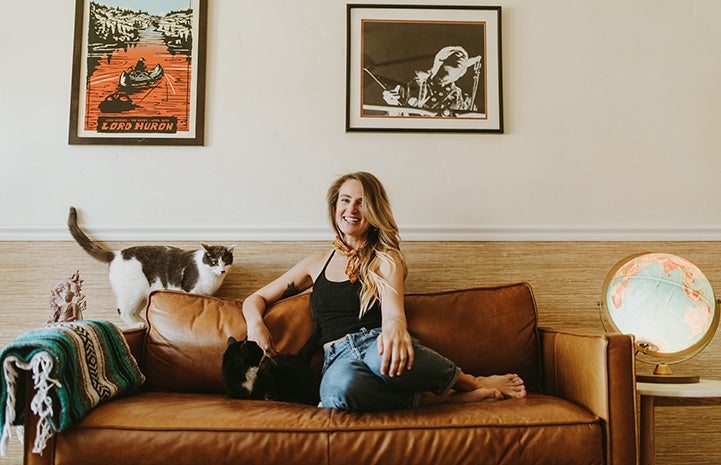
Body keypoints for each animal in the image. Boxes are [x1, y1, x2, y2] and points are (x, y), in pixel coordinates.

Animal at [68, 207, 233, 326]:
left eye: (226, 261)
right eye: (214, 262)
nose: (222, 270)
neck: (212, 278)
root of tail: (116, 254)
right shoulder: (192, 290)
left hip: (142, 295)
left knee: (134, 312)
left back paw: (143, 323)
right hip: (132, 292)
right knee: (122, 310)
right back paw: (137, 325)